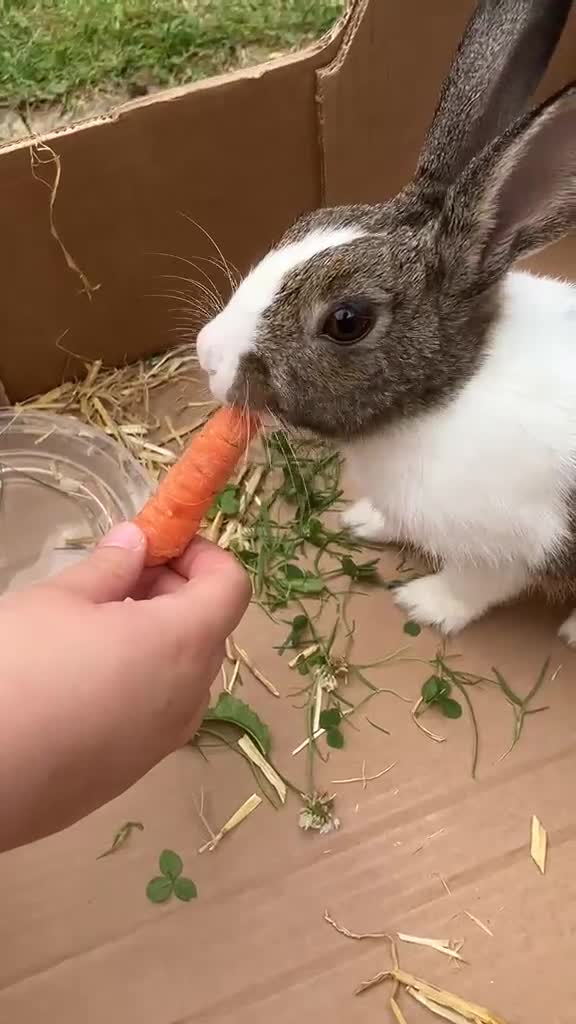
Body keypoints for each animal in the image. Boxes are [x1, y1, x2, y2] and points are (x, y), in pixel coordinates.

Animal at [196, 0, 576, 646]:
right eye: (307, 221)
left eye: (347, 321)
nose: (206, 354)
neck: (446, 391)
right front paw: (365, 520)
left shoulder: (516, 545)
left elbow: (476, 585)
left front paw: (424, 603)